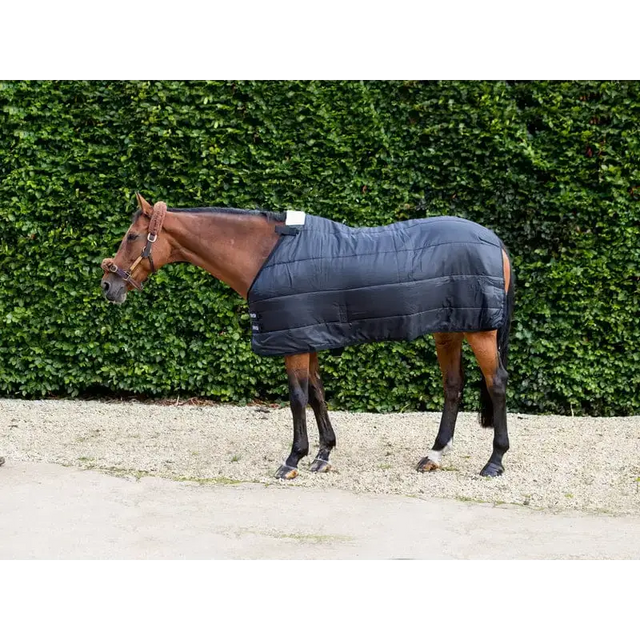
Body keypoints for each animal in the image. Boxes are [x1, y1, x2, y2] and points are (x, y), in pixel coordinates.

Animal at [101, 194, 515, 480]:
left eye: (132, 236)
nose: (107, 285)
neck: (265, 255)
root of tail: (496, 242)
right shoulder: (306, 336)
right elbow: (316, 393)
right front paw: (323, 453)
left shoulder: (293, 342)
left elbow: (297, 397)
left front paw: (293, 459)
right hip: (449, 330)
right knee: (453, 386)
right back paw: (434, 455)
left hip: (480, 331)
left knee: (496, 383)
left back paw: (494, 462)